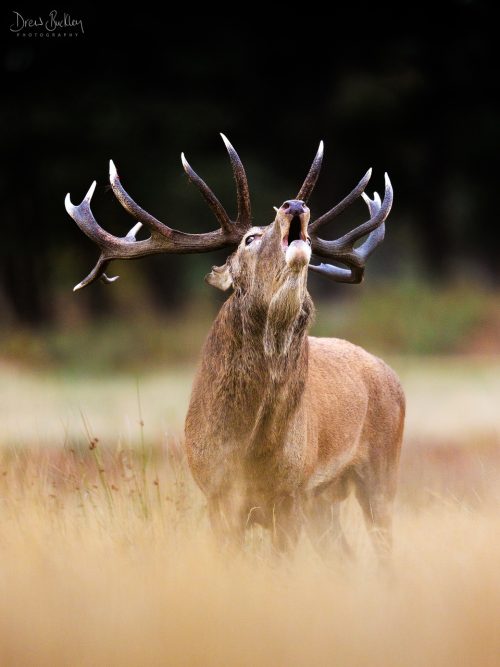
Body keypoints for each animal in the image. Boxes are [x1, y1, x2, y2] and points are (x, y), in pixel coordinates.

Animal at [65, 135, 405, 558]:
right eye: (250, 238)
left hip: (380, 469)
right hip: (325, 503)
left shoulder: (292, 495)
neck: (249, 450)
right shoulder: (216, 495)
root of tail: (389, 373)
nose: (295, 205)